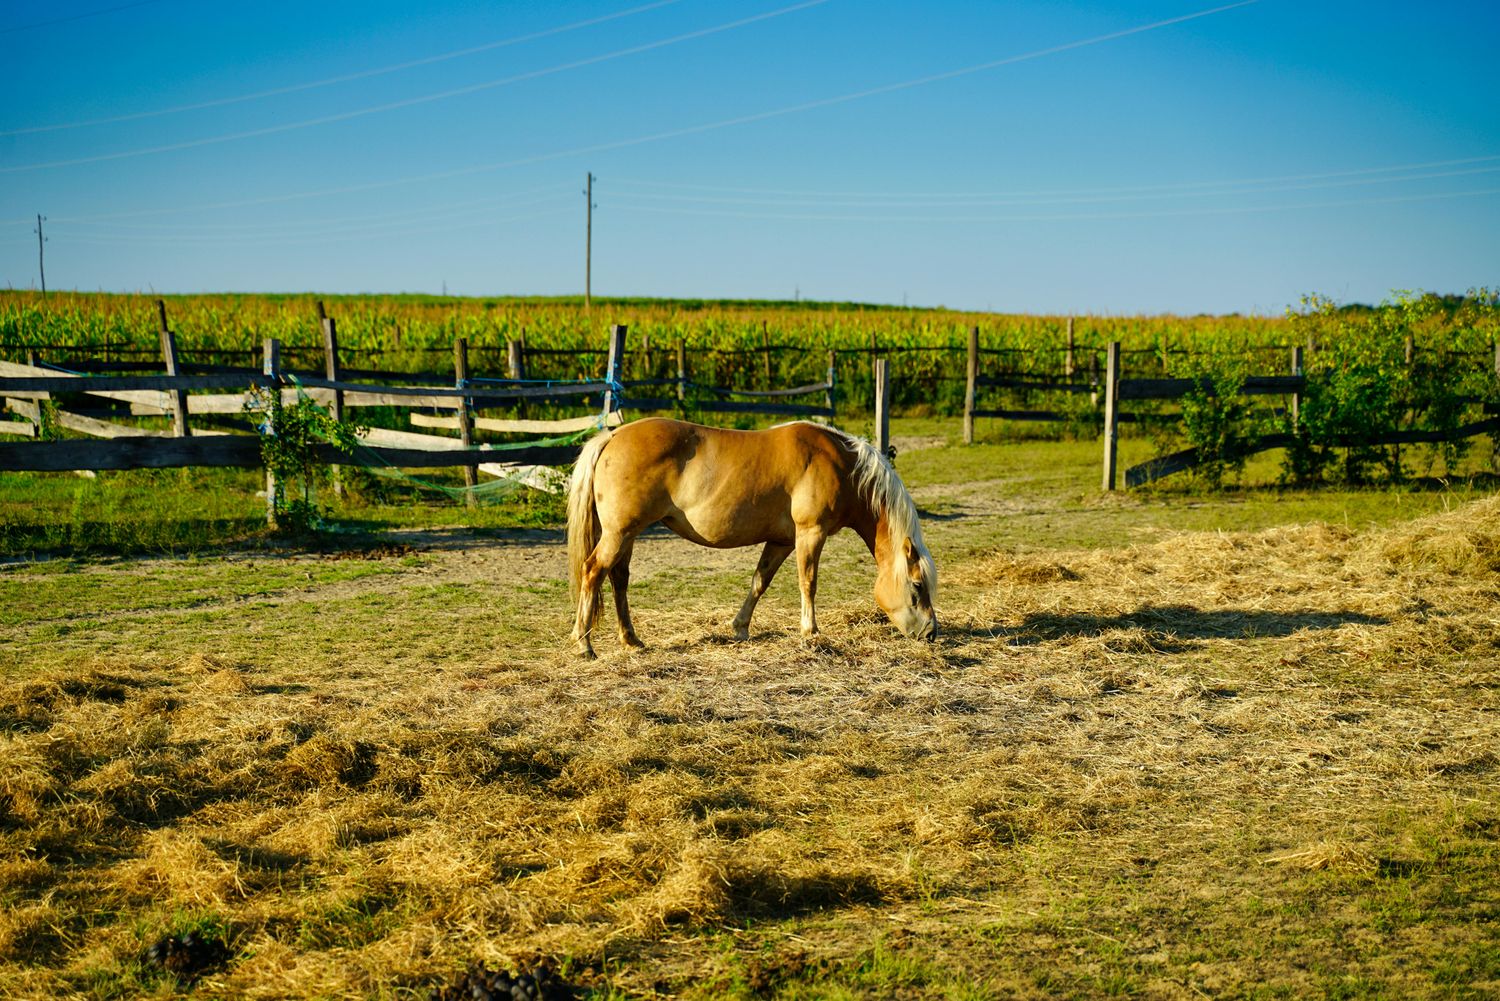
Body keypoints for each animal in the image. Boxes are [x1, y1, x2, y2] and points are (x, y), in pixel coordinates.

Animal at [565, 417, 937, 658]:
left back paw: (631, 640)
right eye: (917, 587)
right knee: (593, 572)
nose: (931, 633)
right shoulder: (810, 533)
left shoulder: (782, 541)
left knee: (618, 579)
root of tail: (612, 436)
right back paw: (584, 644)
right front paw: (811, 632)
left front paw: (740, 628)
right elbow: (808, 582)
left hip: (626, 535)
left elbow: (760, 582)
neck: (843, 467)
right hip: (619, 534)